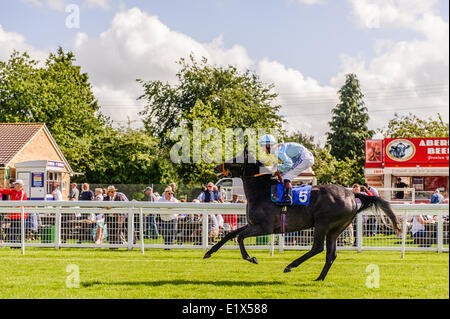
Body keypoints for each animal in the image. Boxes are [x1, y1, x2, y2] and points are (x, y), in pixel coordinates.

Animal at [204, 149, 400, 282]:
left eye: (234, 159)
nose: (215, 166)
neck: (262, 192)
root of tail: (352, 194)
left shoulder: (264, 227)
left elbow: (240, 238)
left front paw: (251, 258)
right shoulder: (253, 224)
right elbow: (231, 234)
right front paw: (209, 253)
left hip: (322, 224)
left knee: (318, 248)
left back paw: (290, 265)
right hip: (335, 229)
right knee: (330, 254)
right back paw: (319, 278)